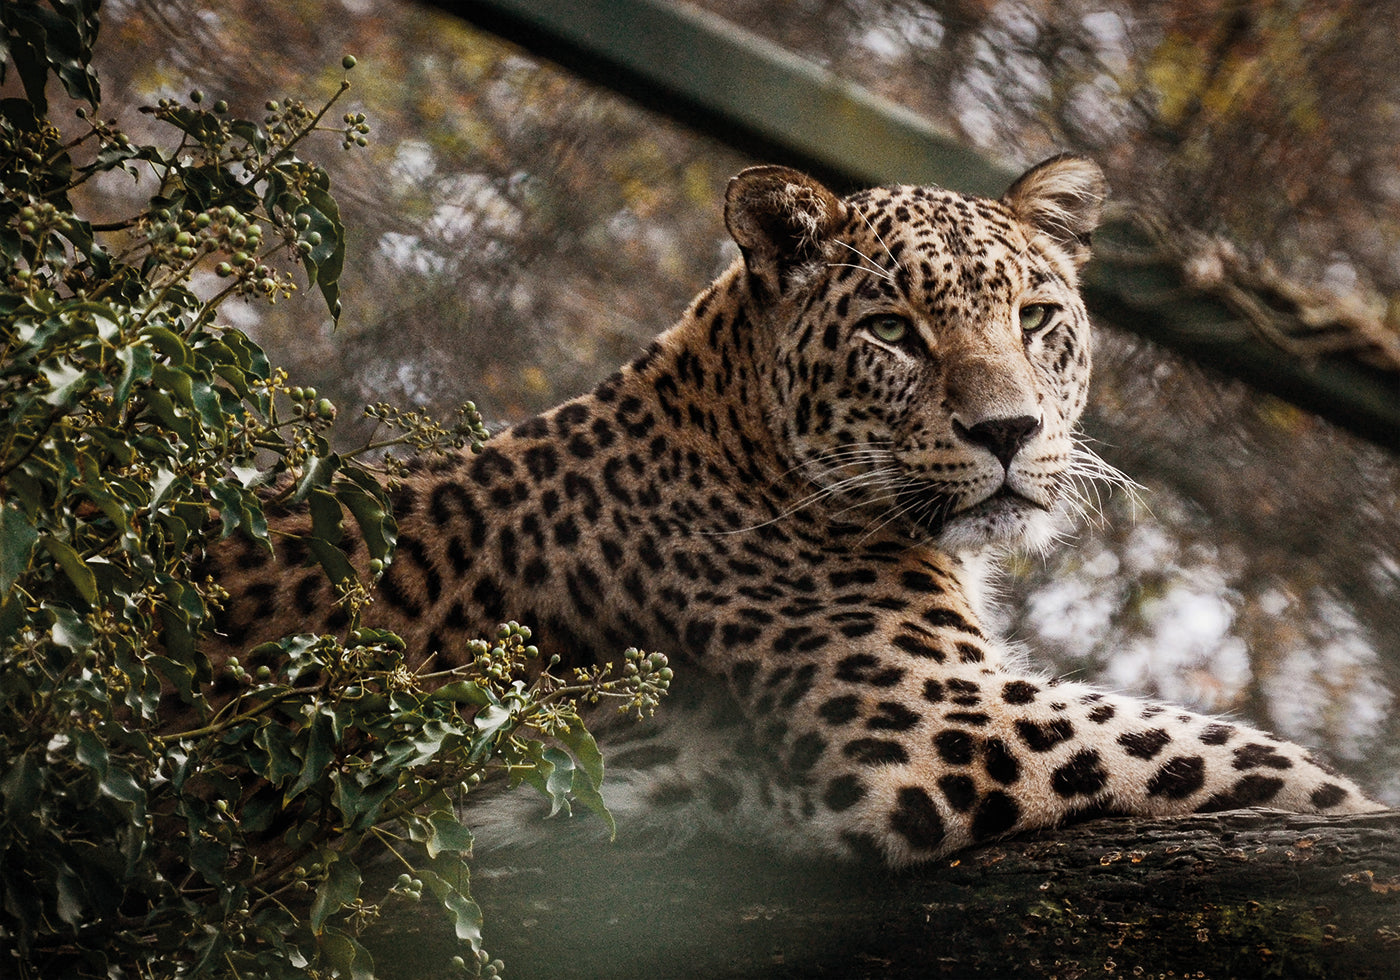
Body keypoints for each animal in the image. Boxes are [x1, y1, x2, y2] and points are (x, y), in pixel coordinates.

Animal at [212, 154, 1383, 865]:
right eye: (894, 332)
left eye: (1035, 317)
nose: (1007, 431)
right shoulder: (941, 720)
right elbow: (1237, 756)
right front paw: (1363, 808)